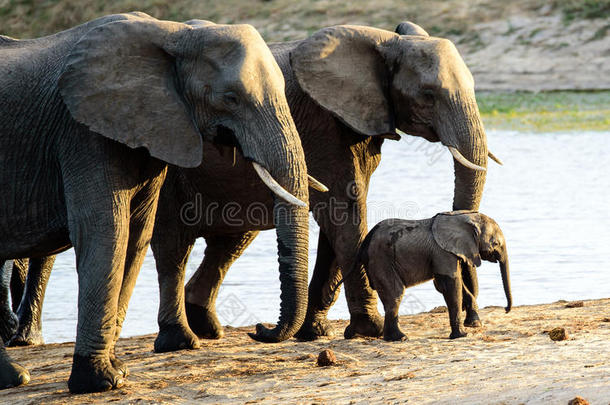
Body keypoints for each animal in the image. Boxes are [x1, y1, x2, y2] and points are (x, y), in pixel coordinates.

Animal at [0, 11, 308, 392]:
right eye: (230, 98)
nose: (260, 329)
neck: (175, 32)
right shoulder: (82, 132)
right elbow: (106, 232)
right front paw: (101, 381)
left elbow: (137, 233)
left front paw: (117, 371)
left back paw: (13, 376)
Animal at [354, 211, 510, 340]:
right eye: (495, 243)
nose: (506, 310)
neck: (464, 217)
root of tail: (365, 243)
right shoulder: (442, 252)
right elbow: (451, 284)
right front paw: (461, 335)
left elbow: (451, 283)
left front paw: (475, 324)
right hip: (381, 261)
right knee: (395, 294)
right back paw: (400, 338)